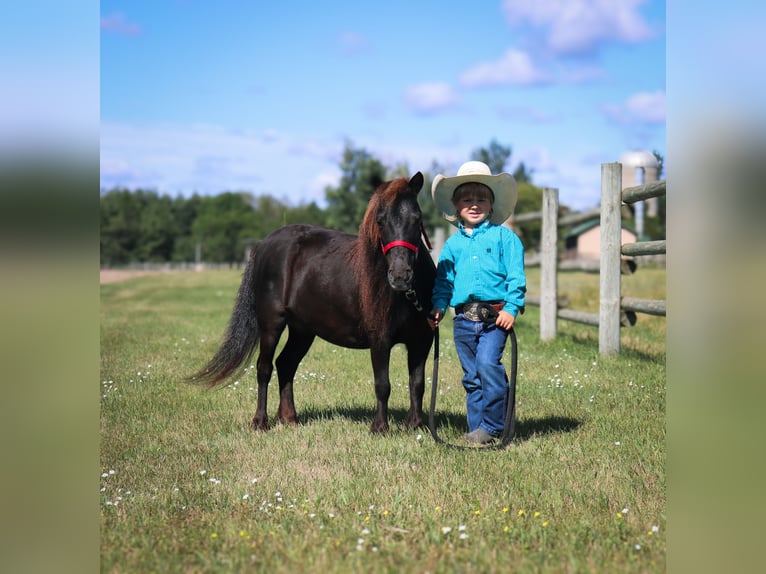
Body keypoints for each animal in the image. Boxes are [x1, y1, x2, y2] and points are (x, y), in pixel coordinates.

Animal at [189, 173, 436, 434]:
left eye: (417, 218)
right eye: (380, 220)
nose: (400, 276)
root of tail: (264, 243)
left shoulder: (422, 341)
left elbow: (417, 383)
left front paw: (416, 426)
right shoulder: (380, 339)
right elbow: (383, 384)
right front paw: (379, 428)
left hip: (302, 330)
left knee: (285, 364)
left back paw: (289, 418)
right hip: (272, 323)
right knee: (264, 368)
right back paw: (260, 422)